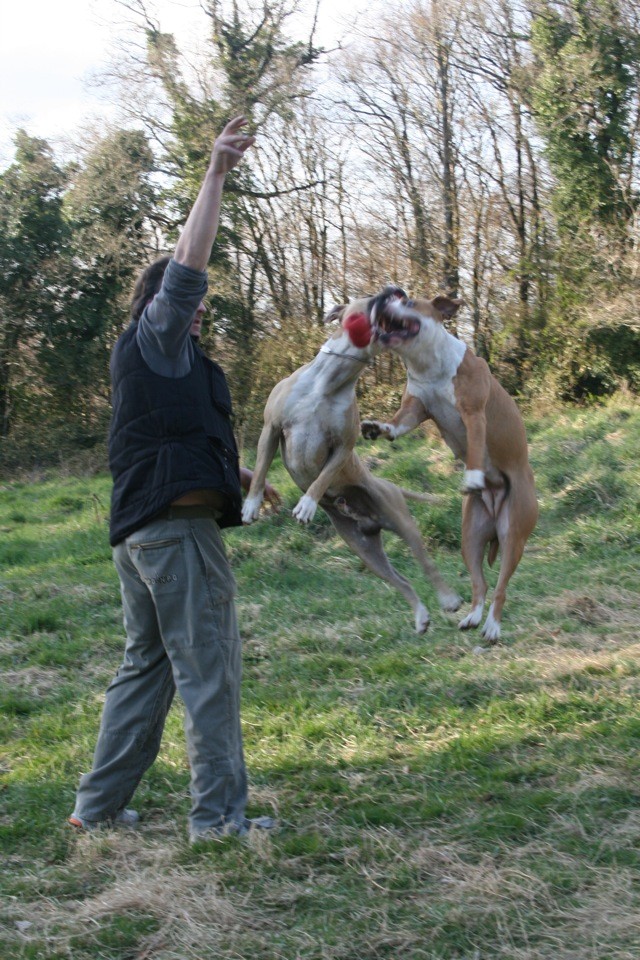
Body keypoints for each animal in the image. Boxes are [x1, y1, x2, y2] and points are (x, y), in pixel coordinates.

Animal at [242, 296, 462, 632]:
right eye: (373, 299)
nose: (397, 291)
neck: (330, 380)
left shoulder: (343, 446)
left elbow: (322, 478)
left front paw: (307, 505)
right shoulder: (271, 429)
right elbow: (259, 473)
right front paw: (252, 505)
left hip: (403, 524)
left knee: (426, 565)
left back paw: (449, 600)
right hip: (364, 549)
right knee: (400, 580)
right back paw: (421, 616)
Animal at [362, 288, 536, 640]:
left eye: (407, 301)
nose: (384, 296)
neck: (428, 366)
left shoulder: (474, 415)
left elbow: (475, 450)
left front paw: (471, 476)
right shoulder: (415, 409)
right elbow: (397, 424)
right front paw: (378, 427)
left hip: (513, 533)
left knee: (501, 587)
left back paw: (492, 627)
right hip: (470, 537)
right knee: (480, 584)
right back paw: (473, 617)